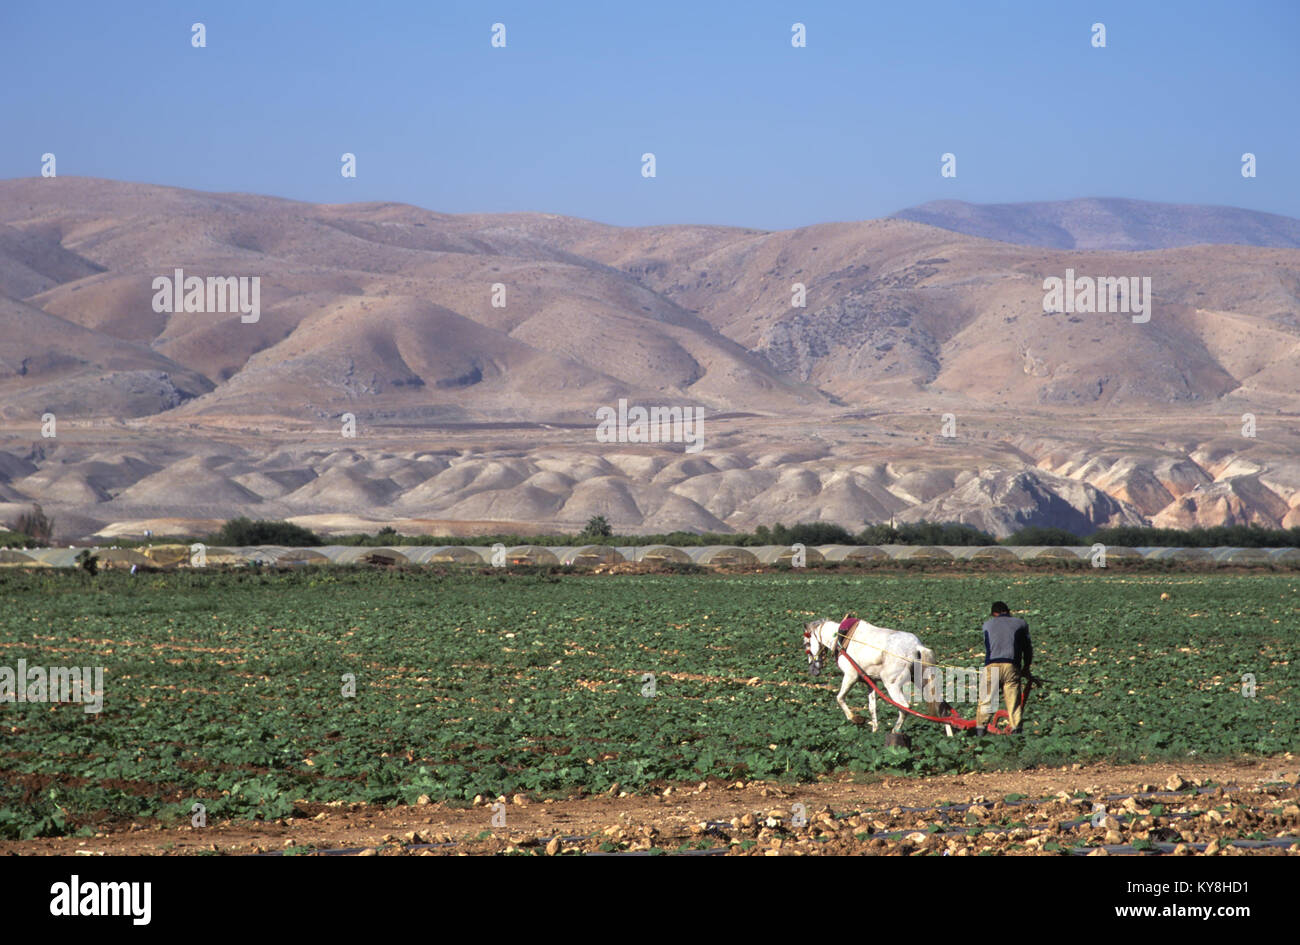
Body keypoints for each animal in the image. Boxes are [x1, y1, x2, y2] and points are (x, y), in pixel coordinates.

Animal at [800, 616, 956, 733]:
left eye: (806, 644)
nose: (813, 671)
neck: (841, 637)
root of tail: (917, 647)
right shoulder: (870, 682)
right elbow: (872, 707)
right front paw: (874, 730)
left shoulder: (851, 676)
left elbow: (839, 698)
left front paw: (855, 719)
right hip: (922, 681)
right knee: (940, 706)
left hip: (892, 684)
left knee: (904, 707)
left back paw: (894, 732)